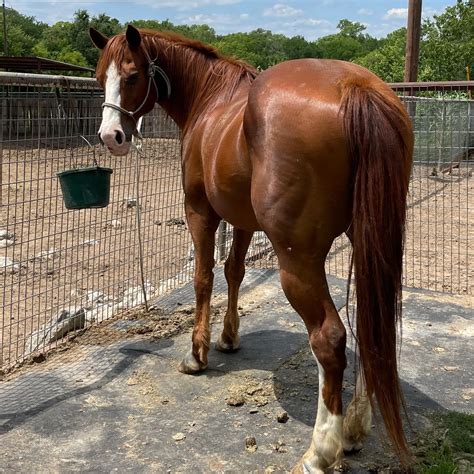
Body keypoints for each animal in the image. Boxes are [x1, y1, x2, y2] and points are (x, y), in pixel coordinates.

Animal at [90, 26, 414, 474]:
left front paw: (197, 354)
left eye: (133, 75)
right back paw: (353, 429)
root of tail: (354, 86)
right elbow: (234, 271)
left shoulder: (200, 211)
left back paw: (320, 451)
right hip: (368, 245)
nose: (111, 137)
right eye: (99, 77)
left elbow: (204, 276)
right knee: (370, 327)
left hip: (297, 262)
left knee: (329, 338)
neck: (211, 100)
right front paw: (229, 337)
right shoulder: (242, 218)